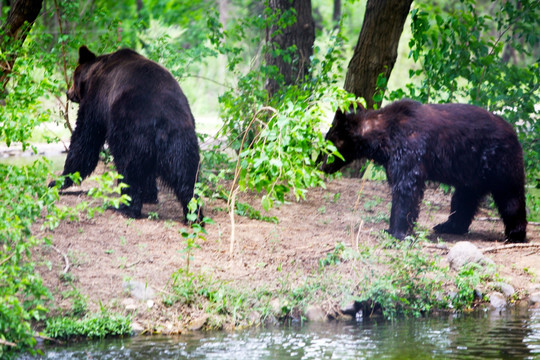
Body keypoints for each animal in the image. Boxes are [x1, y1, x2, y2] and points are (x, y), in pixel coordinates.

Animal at [51, 46, 200, 221]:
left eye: (74, 78)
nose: (68, 93)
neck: (94, 73)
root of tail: (164, 118)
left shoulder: (96, 101)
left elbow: (85, 138)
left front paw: (59, 180)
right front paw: (150, 195)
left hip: (131, 130)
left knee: (129, 168)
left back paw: (125, 207)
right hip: (181, 140)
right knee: (186, 174)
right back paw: (193, 213)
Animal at [320, 100, 528, 243]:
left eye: (327, 144)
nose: (320, 166)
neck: (383, 135)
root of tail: (514, 132)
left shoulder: (409, 149)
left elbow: (406, 188)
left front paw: (395, 231)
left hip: (499, 163)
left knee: (510, 197)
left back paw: (515, 234)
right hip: (471, 173)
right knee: (463, 199)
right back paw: (448, 225)